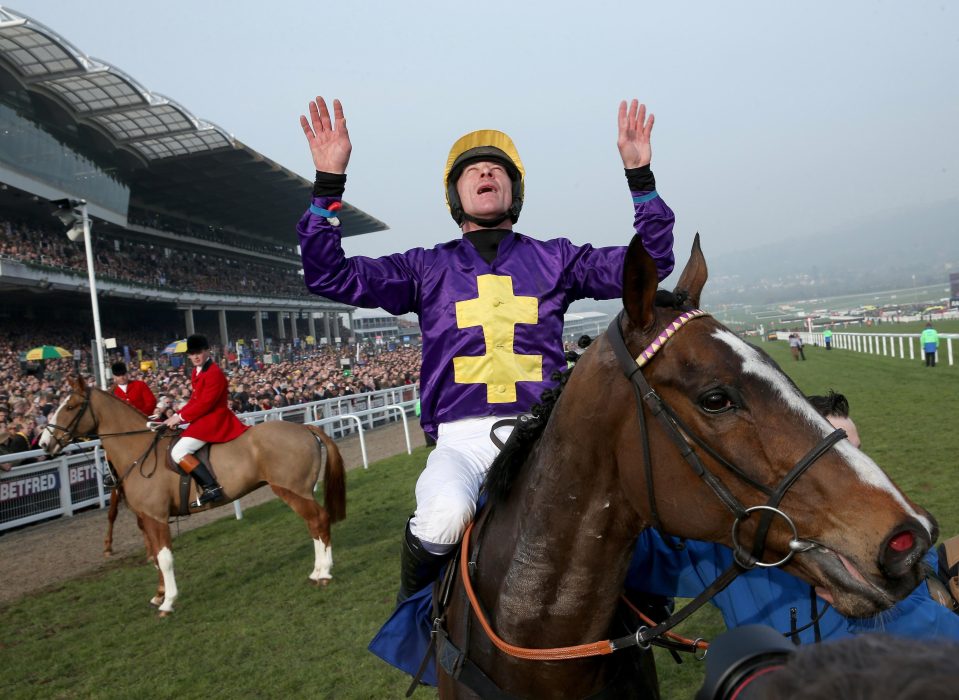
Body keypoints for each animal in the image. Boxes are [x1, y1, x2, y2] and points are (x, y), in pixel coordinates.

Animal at [43, 380, 348, 616]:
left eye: (70, 407)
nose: (45, 443)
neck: (139, 451)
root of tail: (305, 428)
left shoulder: (156, 517)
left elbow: (165, 558)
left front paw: (167, 602)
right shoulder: (146, 518)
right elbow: (155, 557)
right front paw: (159, 594)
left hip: (292, 491)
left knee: (318, 520)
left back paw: (324, 573)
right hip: (299, 492)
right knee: (314, 524)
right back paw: (317, 571)